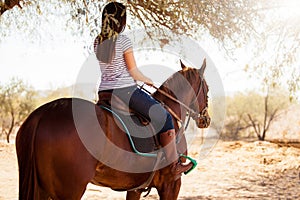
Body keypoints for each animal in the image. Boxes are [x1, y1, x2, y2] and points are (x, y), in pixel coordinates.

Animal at [15, 58, 209, 199]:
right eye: (206, 89)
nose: (206, 119)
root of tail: (42, 114)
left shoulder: (135, 189)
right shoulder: (171, 184)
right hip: (69, 190)